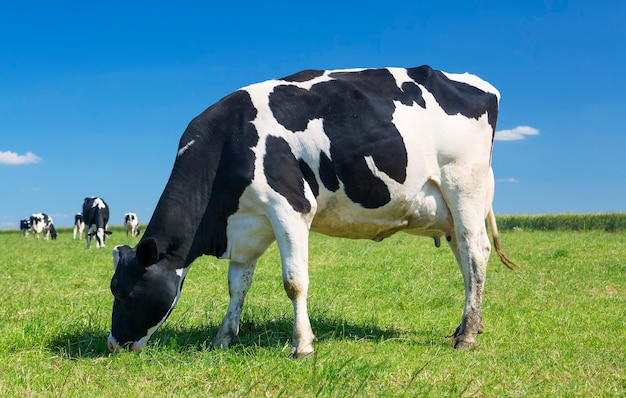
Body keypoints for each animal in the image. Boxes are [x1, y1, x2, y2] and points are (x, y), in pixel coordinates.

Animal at [108, 64, 516, 354]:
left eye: (124, 293)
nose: (113, 344)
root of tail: (477, 83)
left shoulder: (290, 208)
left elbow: (294, 281)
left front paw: (302, 344)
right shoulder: (247, 223)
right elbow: (237, 285)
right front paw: (223, 338)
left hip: (463, 187)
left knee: (476, 253)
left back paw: (466, 337)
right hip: (450, 209)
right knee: (466, 261)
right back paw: (469, 325)